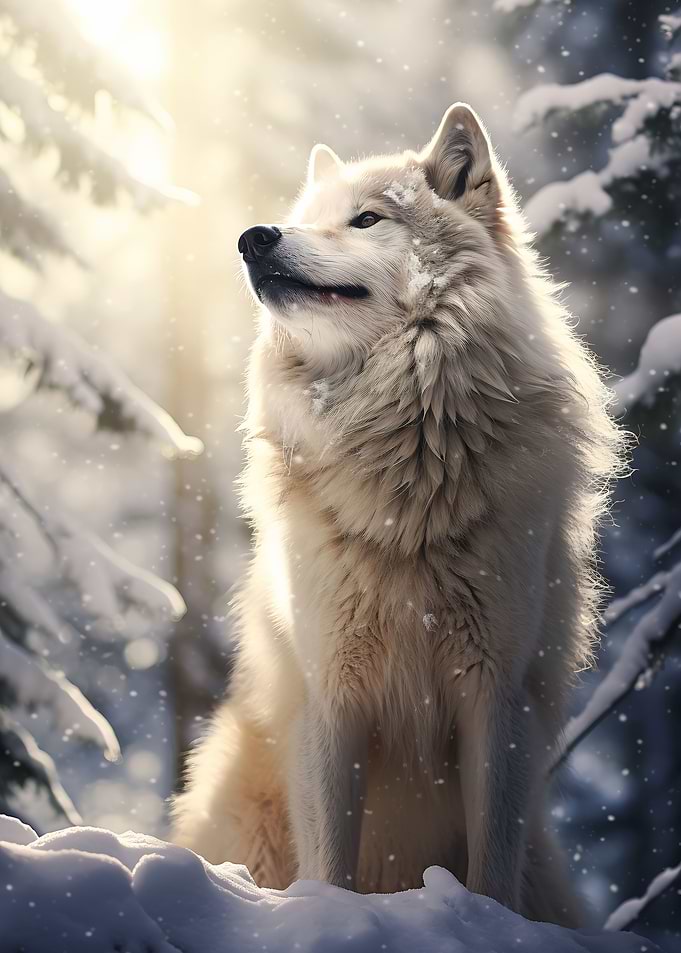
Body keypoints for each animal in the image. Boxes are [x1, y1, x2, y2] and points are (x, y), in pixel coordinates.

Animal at [171, 103, 622, 926]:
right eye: (305, 217)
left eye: (366, 219)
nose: (253, 238)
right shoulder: (333, 696)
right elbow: (331, 861)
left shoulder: (495, 696)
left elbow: (491, 865)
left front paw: (489, 928)